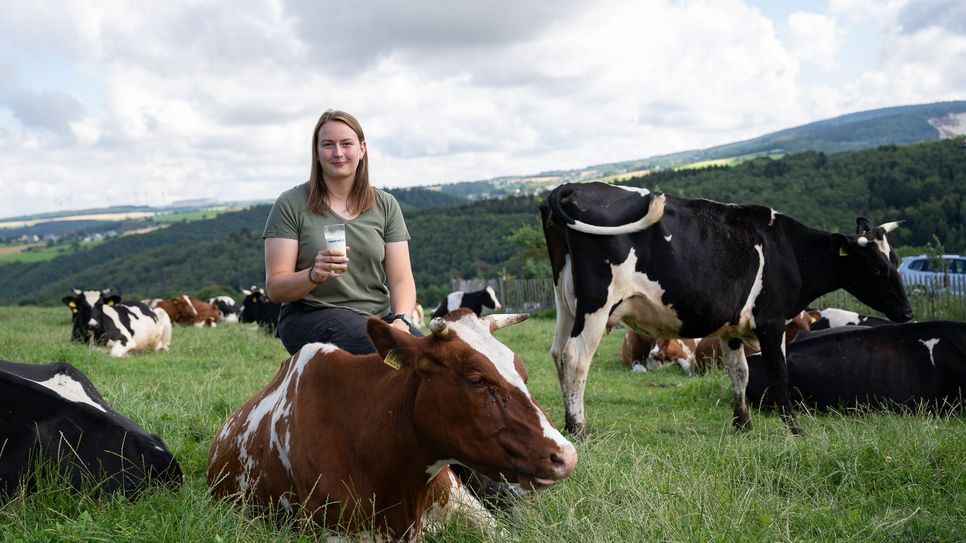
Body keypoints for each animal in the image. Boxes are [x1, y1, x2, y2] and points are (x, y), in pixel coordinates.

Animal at [544, 183, 916, 438]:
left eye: (895, 260)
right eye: (877, 268)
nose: (908, 313)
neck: (789, 250)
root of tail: (573, 187)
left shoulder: (732, 327)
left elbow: (739, 372)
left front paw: (744, 424)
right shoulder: (771, 321)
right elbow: (779, 373)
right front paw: (795, 429)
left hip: (566, 303)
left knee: (558, 353)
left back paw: (566, 424)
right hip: (596, 305)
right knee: (576, 357)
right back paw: (578, 427)